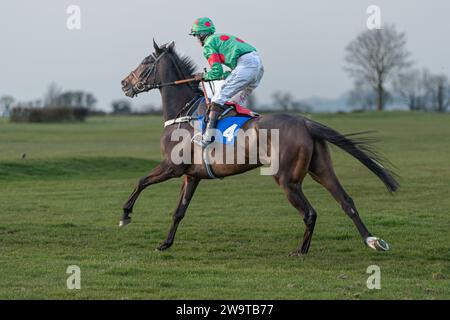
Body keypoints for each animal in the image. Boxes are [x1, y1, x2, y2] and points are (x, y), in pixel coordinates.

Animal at [118, 40, 398, 255]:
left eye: (145, 62)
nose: (124, 83)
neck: (183, 113)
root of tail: (306, 122)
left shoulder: (172, 167)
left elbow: (140, 181)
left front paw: (125, 215)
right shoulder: (191, 175)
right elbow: (179, 211)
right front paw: (165, 243)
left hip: (287, 179)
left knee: (310, 212)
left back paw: (301, 250)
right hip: (321, 169)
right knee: (346, 201)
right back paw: (372, 241)